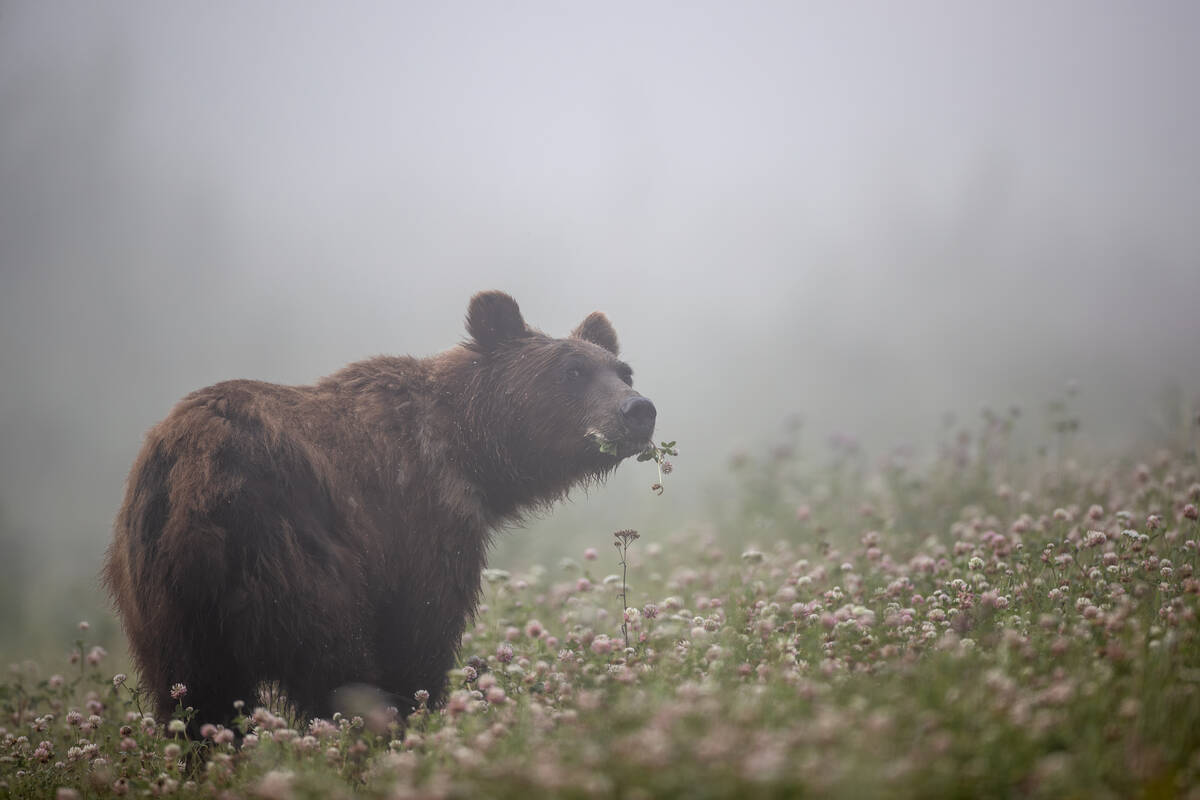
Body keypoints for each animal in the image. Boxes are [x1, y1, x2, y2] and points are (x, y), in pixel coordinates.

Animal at [102, 293, 657, 734]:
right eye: (573, 372)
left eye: (622, 371)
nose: (639, 410)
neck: (469, 449)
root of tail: (192, 474)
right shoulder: (419, 515)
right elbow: (419, 634)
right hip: (284, 546)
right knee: (334, 663)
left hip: (160, 597)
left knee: (194, 698)